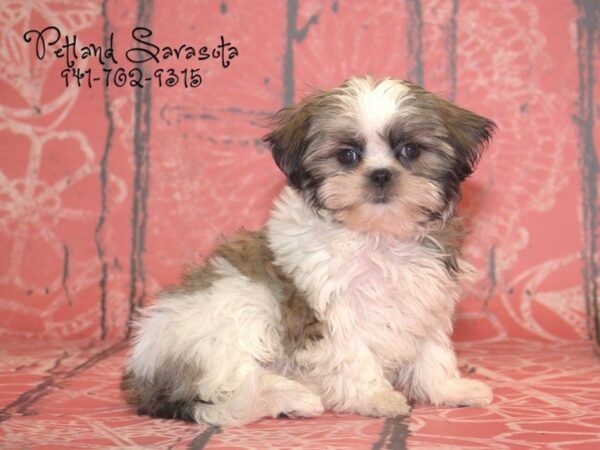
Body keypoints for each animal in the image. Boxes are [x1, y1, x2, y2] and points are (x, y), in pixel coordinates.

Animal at [123, 76, 496, 426]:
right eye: (347, 155)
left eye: (410, 150)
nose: (380, 175)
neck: (377, 235)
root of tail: (145, 370)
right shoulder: (332, 308)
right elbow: (354, 355)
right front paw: (375, 397)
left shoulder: (427, 298)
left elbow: (432, 352)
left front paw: (448, 389)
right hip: (242, 306)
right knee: (227, 380)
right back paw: (291, 396)